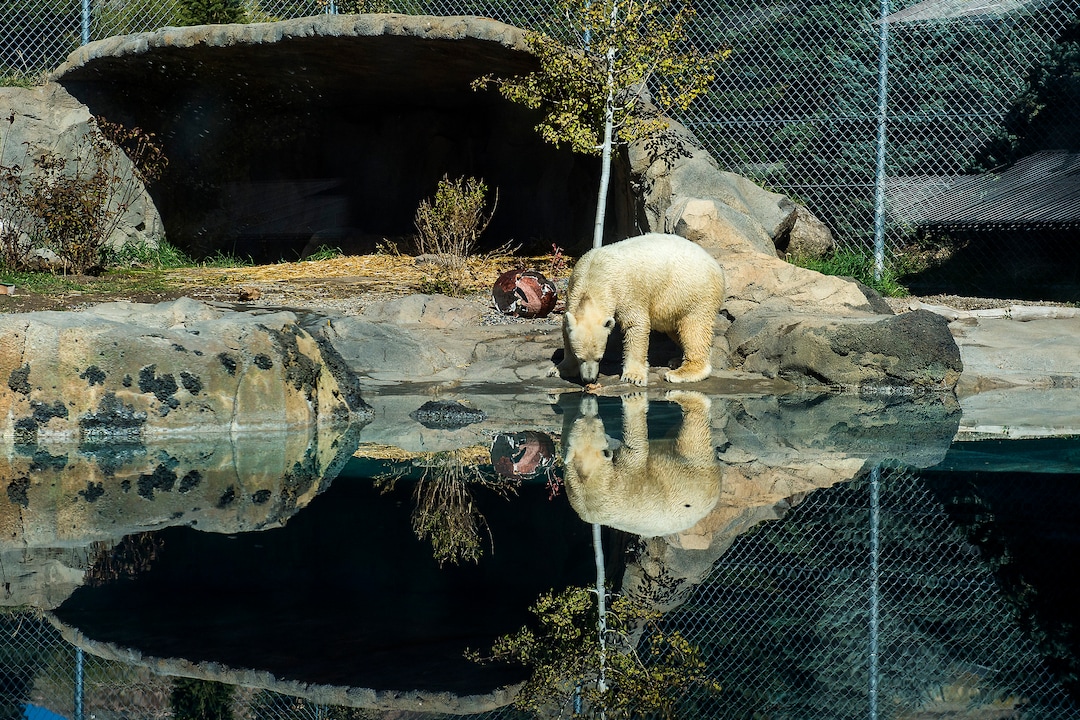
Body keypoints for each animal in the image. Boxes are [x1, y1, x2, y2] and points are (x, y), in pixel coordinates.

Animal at [549, 232, 725, 386]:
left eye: (599, 358)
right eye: (580, 358)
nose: (589, 380)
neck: (594, 274)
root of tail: (714, 263)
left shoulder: (625, 289)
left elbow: (635, 324)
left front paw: (633, 376)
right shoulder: (573, 288)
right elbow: (566, 329)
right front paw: (558, 369)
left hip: (694, 290)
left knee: (694, 329)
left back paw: (682, 372)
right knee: (676, 328)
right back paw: (676, 360)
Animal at [561, 391, 722, 538]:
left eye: (578, 418)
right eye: (599, 419)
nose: (589, 397)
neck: (587, 480)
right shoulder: (624, 478)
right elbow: (637, 447)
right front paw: (634, 398)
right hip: (695, 469)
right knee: (693, 434)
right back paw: (683, 397)